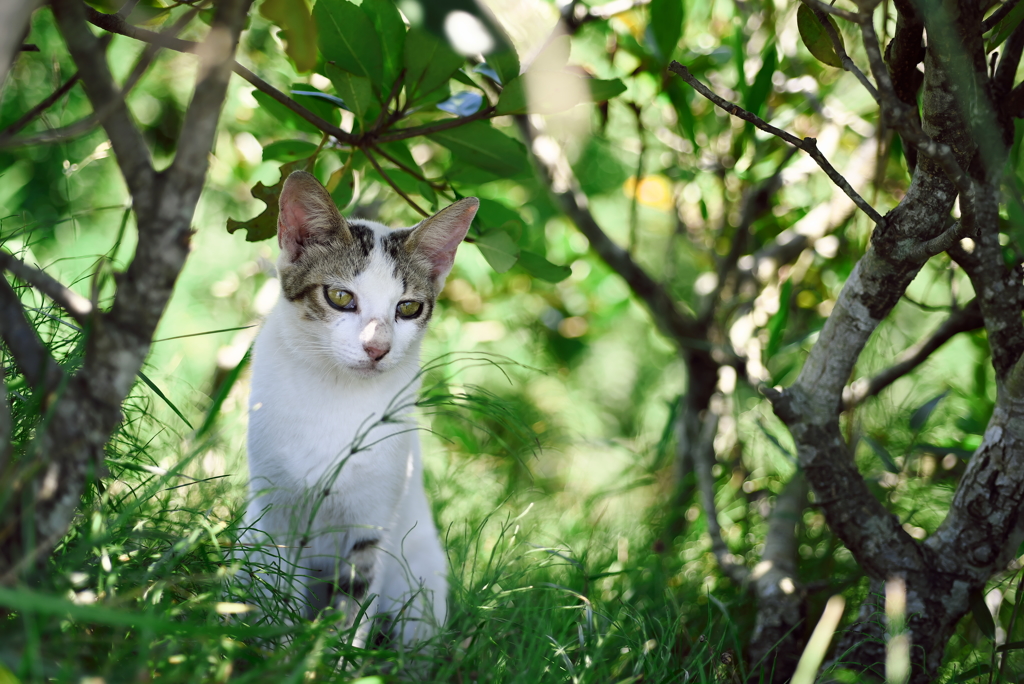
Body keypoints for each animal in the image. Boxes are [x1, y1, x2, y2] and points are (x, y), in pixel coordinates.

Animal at [240, 169, 479, 647]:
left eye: (408, 307)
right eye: (339, 296)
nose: (377, 348)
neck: (338, 395)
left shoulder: (373, 525)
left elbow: (353, 604)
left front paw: (328, 656)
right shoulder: (274, 513)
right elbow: (277, 589)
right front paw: (278, 649)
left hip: (421, 580)